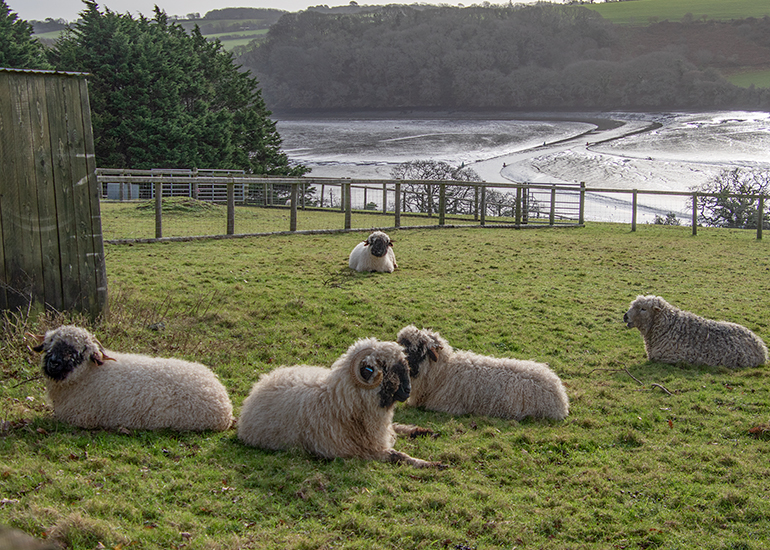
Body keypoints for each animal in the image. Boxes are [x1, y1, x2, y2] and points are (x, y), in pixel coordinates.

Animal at [237, 337, 442, 468]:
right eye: (385, 367)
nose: (408, 390)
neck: (340, 400)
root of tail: (260, 384)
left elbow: (396, 430)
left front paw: (423, 433)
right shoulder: (362, 451)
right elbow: (398, 455)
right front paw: (431, 464)